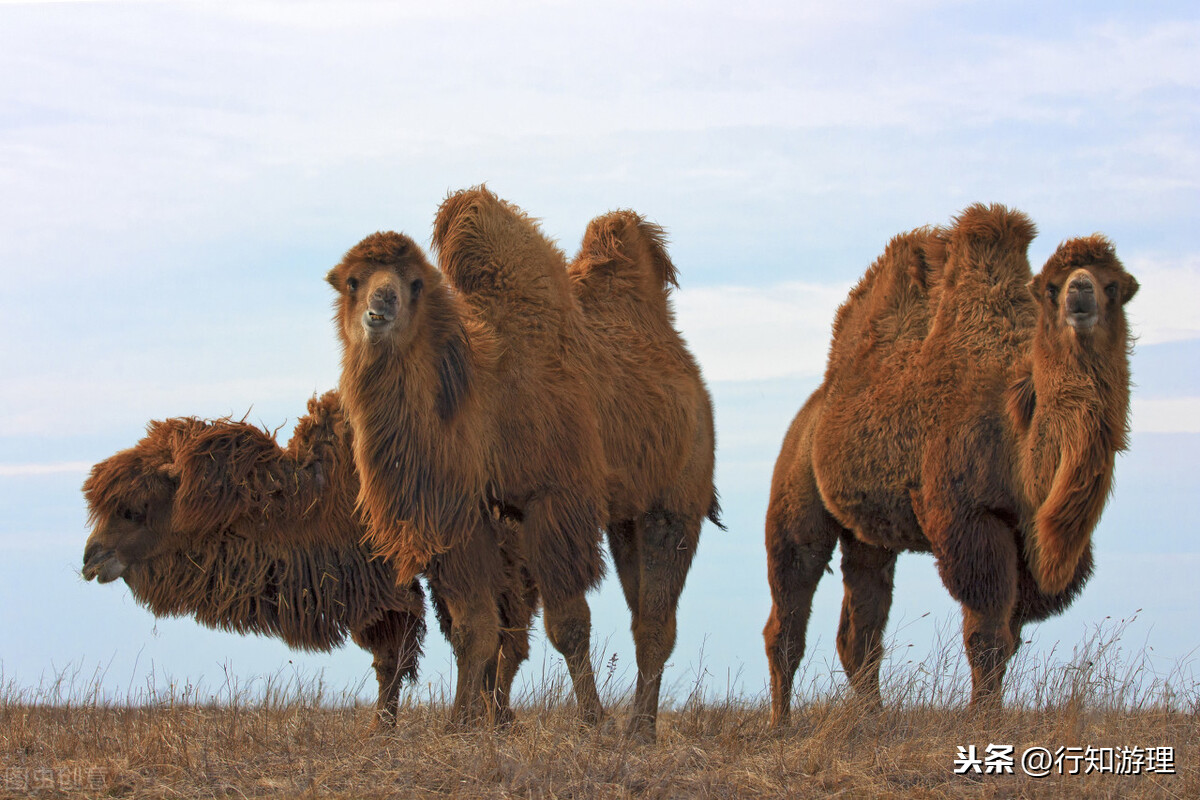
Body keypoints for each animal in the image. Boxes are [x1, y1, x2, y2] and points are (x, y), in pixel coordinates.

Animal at [763, 205, 1137, 724]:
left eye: (1113, 285)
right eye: (1051, 286)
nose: (1079, 293)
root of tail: (813, 409)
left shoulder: (1024, 539)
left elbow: (1009, 636)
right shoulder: (971, 520)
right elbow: (987, 636)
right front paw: (983, 719)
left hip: (869, 533)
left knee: (860, 623)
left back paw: (873, 719)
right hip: (797, 484)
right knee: (790, 601)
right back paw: (781, 723)